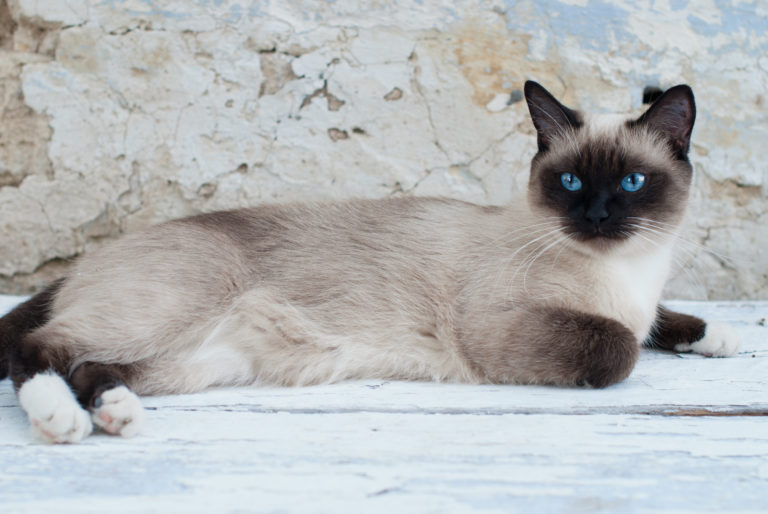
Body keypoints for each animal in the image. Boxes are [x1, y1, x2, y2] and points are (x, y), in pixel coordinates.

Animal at [1, 81, 744, 440]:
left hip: (195, 363)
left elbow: (658, 321)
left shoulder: (641, 299)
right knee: (38, 349)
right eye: (569, 182)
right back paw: (64, 420)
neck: (626, 271)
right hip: (164, 318)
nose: (595, 217)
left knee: (88, 365)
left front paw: (720, 335)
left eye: (631, 184)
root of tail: (84, 264)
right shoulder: (504, 327)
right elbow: (622, 345)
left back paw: (116, 413)